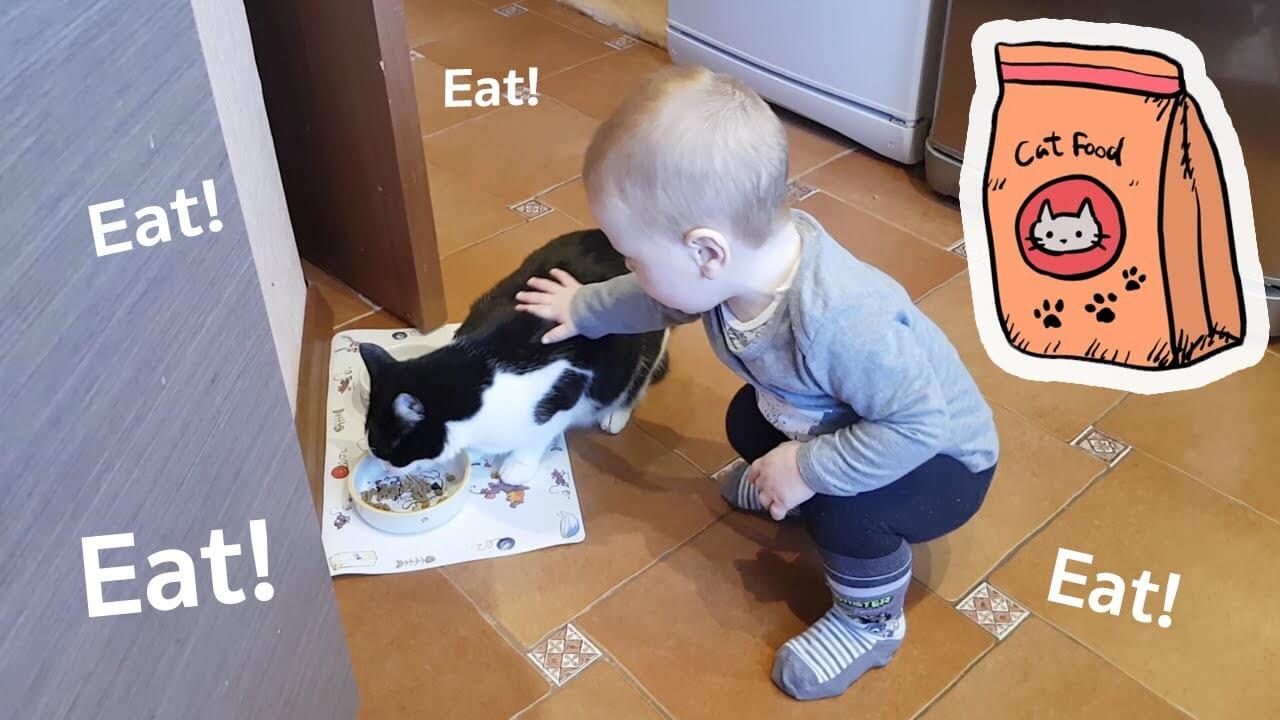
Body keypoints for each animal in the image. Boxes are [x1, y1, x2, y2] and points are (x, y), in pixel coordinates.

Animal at [358, 229, 670, 486]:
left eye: (387, 450)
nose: (383, 469)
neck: (481, 376)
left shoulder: (566, 389)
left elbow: (538, 435)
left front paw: (517, 466)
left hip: (644, 333)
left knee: (636, 377)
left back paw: (616, 414)